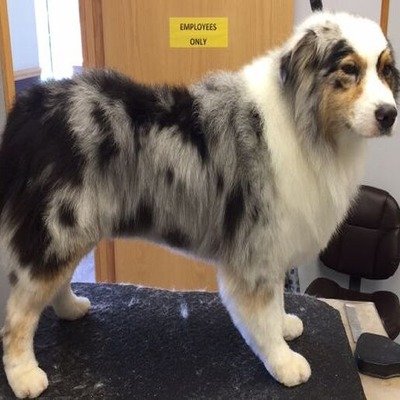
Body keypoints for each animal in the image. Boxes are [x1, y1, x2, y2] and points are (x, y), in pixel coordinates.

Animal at [0, 10, 398, 398]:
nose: (389, 114)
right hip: (58, 226)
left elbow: (277, 303)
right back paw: (24, 375)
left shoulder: (272, 246)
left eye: (385, 70)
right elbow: (262, 314)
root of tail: (30, 108)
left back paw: (70, 308)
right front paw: (283, 361)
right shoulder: (255, 247)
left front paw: (285, 325)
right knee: (18, 311)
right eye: (349, 69)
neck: (307, 122)